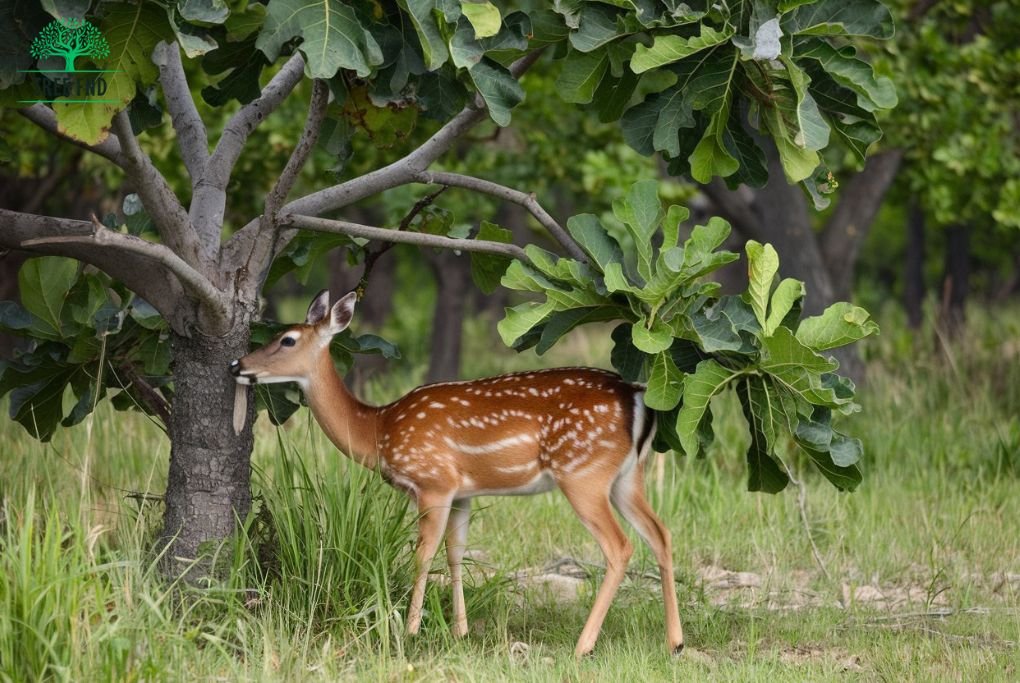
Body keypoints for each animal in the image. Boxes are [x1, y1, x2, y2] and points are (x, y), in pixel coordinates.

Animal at [227, 289, 681, 656]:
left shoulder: (434, 482)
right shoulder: (463, 492)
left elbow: (423, 553)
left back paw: (584, 646)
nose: (236, 364)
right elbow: (456, 552)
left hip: (583, 472)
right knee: (661, 533)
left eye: (287, 339)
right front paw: (460, 632)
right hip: (627, 476)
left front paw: (410, 631)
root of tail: (637, 395)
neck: (378, 429)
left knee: (620, 546)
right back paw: (674, 641)